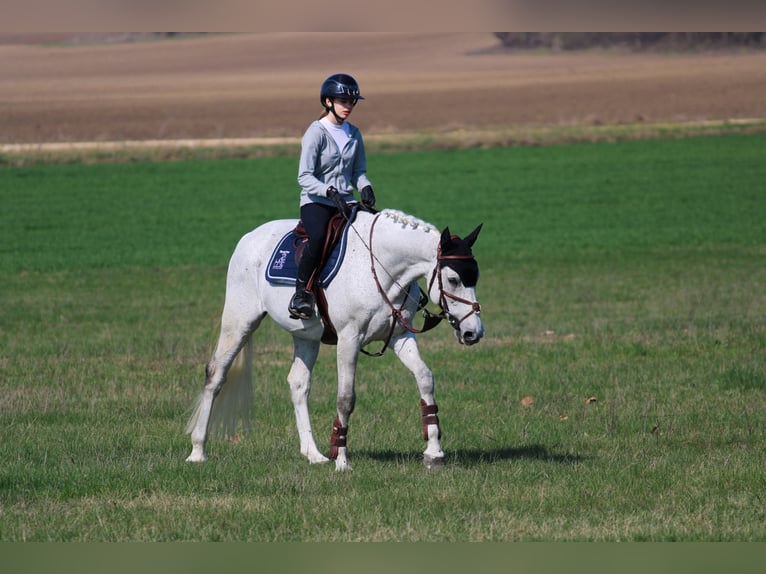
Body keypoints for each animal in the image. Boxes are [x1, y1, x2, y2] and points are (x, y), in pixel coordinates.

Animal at [187, 207, 486, 472]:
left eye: (475, 278)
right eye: (453, 279)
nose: (474, 332)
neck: (379, 267)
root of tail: (249, 237)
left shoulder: (400, 336)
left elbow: (425, 378)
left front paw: (434, 452)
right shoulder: (349, 340)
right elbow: (345, 398)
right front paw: (341, 461)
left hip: (305, 336)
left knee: (298, 384)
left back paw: (313, 454)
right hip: (239, 322)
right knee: (216, 374)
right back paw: (197, 451)